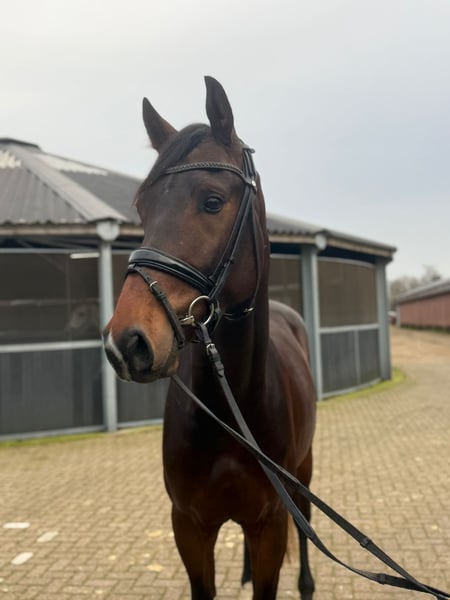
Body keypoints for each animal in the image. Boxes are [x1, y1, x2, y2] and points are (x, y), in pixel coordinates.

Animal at [103, 76, 317, 600]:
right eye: (143, 208)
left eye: (213, 201)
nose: (127, 343)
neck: (232, 405)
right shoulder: (190, 526)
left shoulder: (269, 524)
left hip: (303, 474)